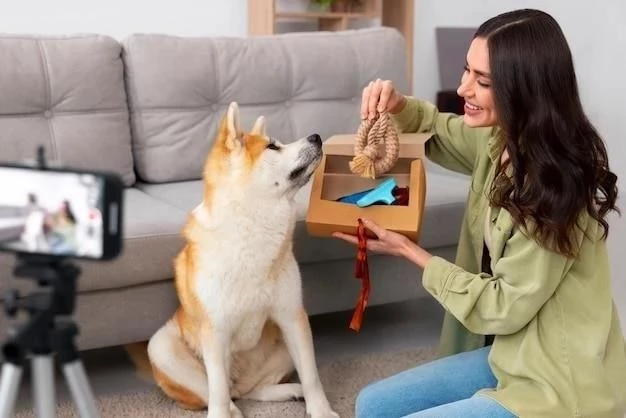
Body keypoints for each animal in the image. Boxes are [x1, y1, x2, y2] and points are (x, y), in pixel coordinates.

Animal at [127, 102, 338, 418]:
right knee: (223, 393)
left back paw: (290, 390)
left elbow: (311, 376)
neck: (253, 231)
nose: (316, 136)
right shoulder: (215, 333)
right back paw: (233, 410)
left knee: (251, 390)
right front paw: (221, 412)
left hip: (287, 341)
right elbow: (216, 391)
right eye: (273, 146)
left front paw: (321, 410)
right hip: (162, 347)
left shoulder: (292, 316)